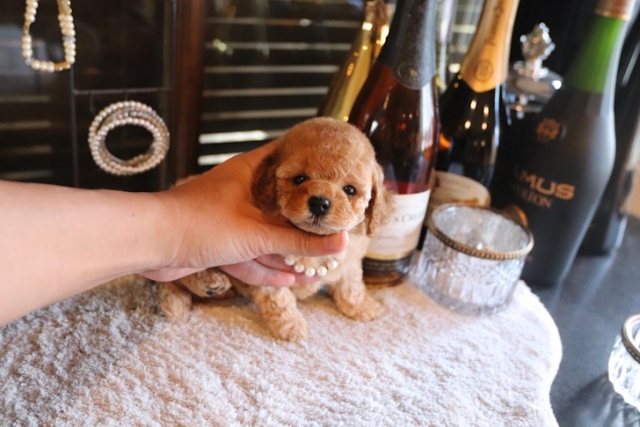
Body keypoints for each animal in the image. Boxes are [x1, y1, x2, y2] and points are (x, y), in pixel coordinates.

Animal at [158, 117, 390, 341]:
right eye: (299, 179)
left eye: (350, 190)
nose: (319, 203)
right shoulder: (268, 273)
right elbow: (279, 298)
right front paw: (291, 325)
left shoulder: (350, 261)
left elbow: (351, 286)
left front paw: (363, 307)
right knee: (170, 278)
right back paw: (195, 291)